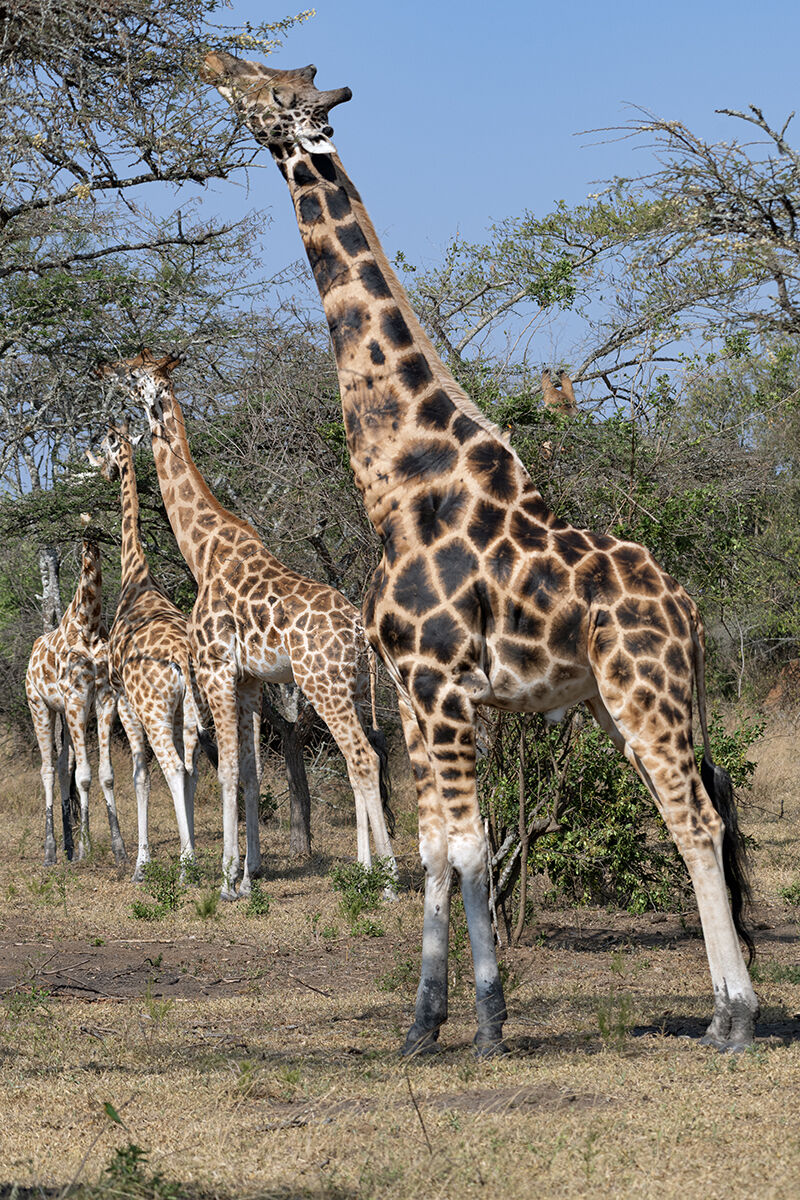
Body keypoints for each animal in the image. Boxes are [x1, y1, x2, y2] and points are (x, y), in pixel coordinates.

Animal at [26, 516, 126, 866]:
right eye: (88, 526)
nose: (95, 540)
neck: (90, 626)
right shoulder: (77, 696)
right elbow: (84, 775)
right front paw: (87, 849)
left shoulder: (104, 696)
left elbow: (105, 773)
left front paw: (118, 848)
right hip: (39, 706)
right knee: (46, 769)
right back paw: (50, 852)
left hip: (63, 713)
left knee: (61, 766)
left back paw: (67, 848)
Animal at [89, 424, 206, 880]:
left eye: (105, 450)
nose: (105, 472)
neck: (136, 576)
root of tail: (183, 658)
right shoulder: (174, 712)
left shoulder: (124, 701)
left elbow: (140, 776)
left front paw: (142, 863)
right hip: (192, 707)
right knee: (192, 768)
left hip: (154, 709)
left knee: (173, 767)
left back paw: (186, 866)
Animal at [202, 53, 760, 1055]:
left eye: (269, 91)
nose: (209, 60)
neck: (400, 481)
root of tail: (689, 611)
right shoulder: (418, 695)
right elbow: (436, 844)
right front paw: (422, 1026)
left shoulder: (442, 687)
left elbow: (467, 843)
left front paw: (490, 1023)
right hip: (630, 703)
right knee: (705, 808)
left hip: (643, 697)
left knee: (693, 820)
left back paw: (733, 1018)